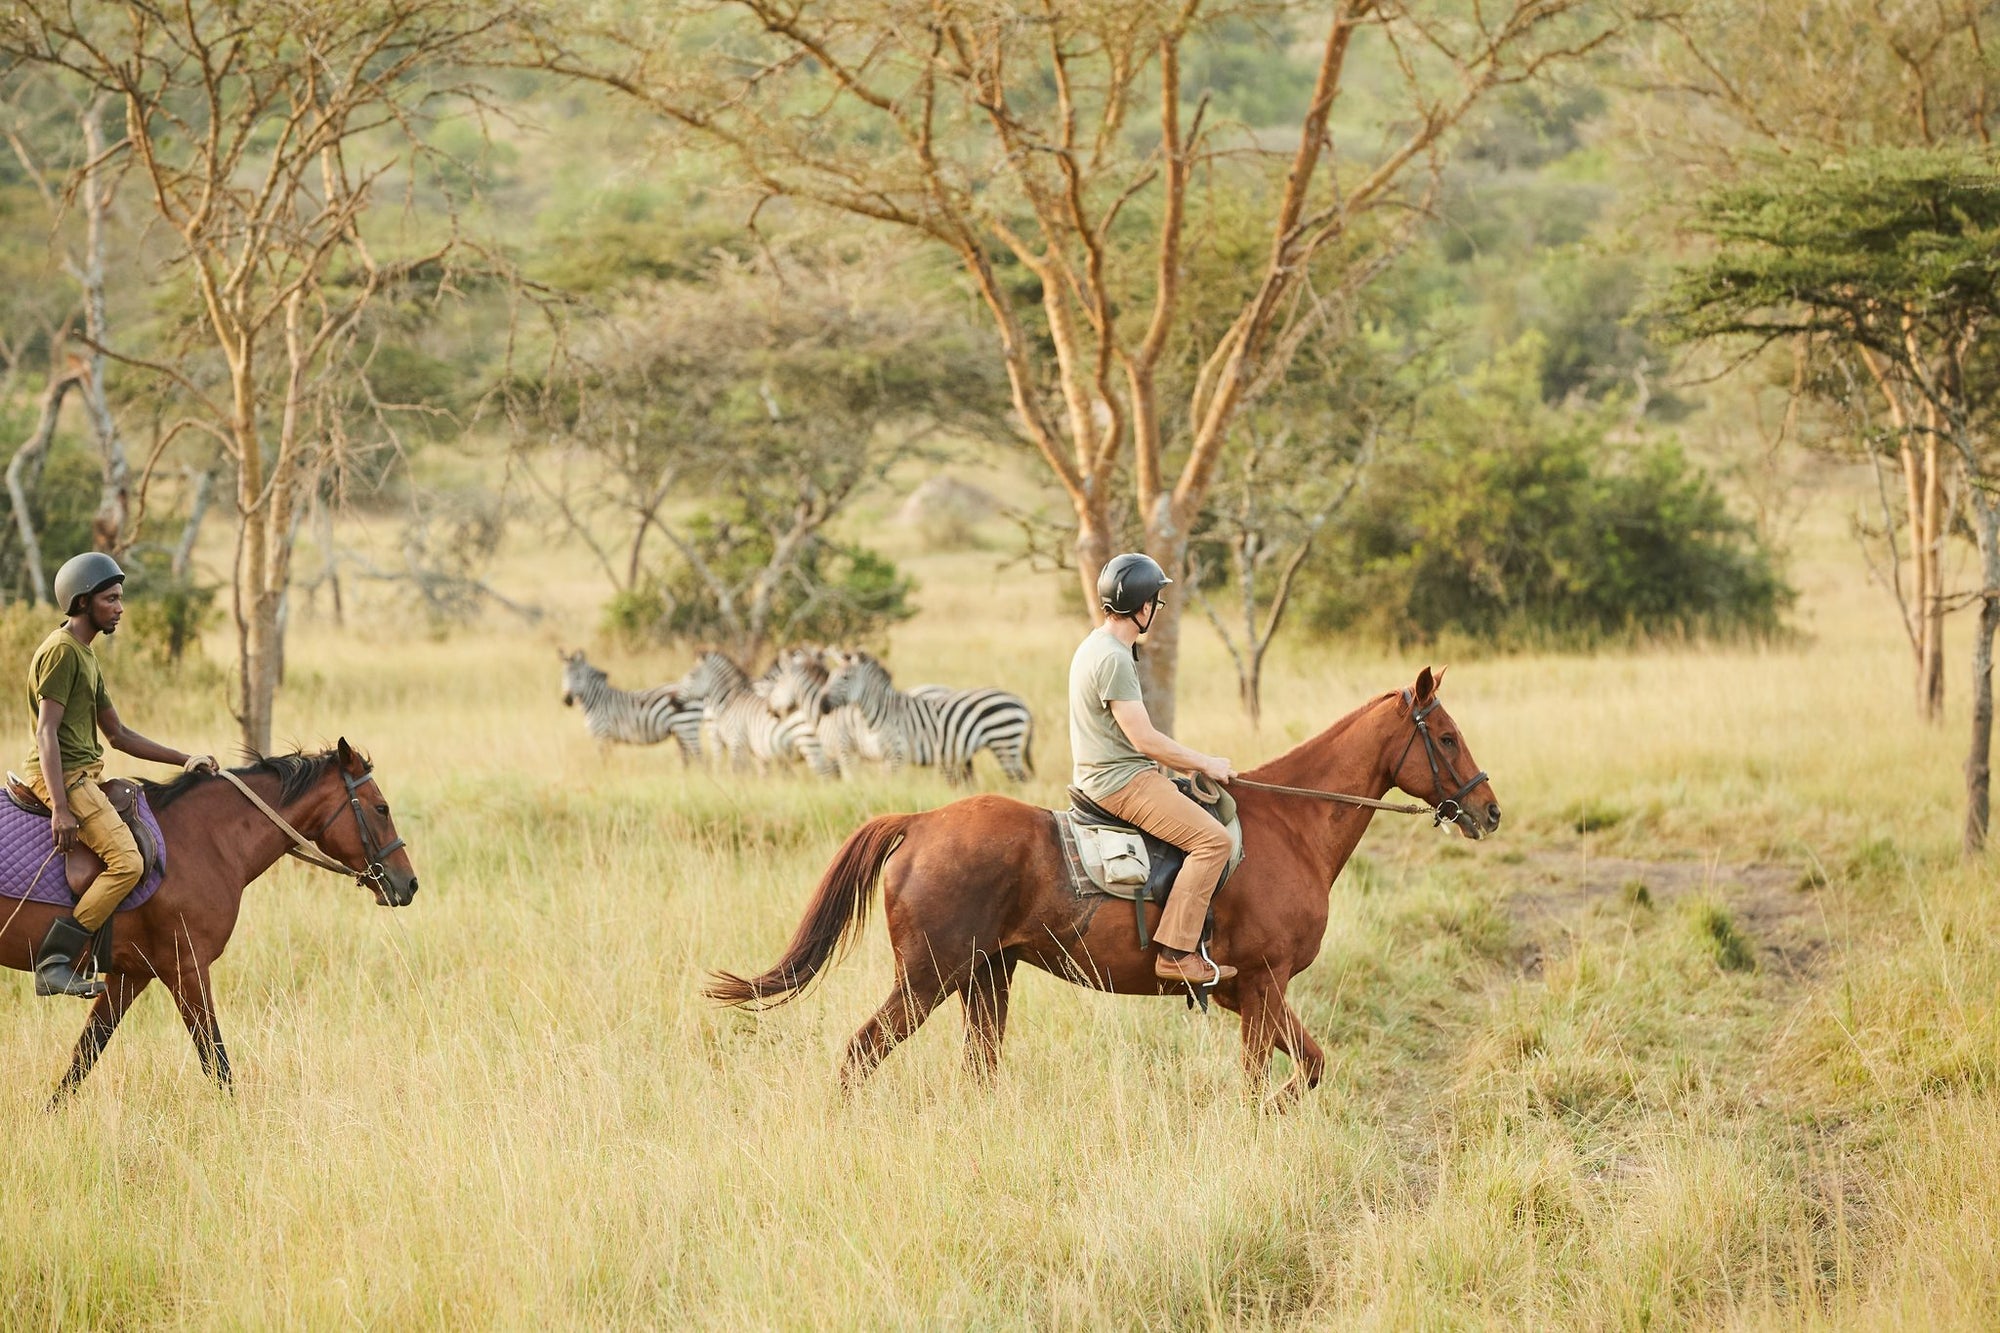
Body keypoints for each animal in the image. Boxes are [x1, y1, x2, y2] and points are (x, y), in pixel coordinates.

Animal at [0, 740, 418, 1105]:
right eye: (381, 808)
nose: (408, 883)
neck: (205, 841)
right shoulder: (187, 970)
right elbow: (216, 1061)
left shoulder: (130, 975)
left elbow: (84, 1056)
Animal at [706, 668, 1499, 1108]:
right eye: (1447, 737)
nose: (1489, 811)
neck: (1291, 825)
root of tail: (922, 822)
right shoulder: (1266, 983)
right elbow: (1261, 1080)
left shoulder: (1251, 992)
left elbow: (1310, 1065)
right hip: (928, 981)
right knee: (860, 1053)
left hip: (986, 979)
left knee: (977, 1069)